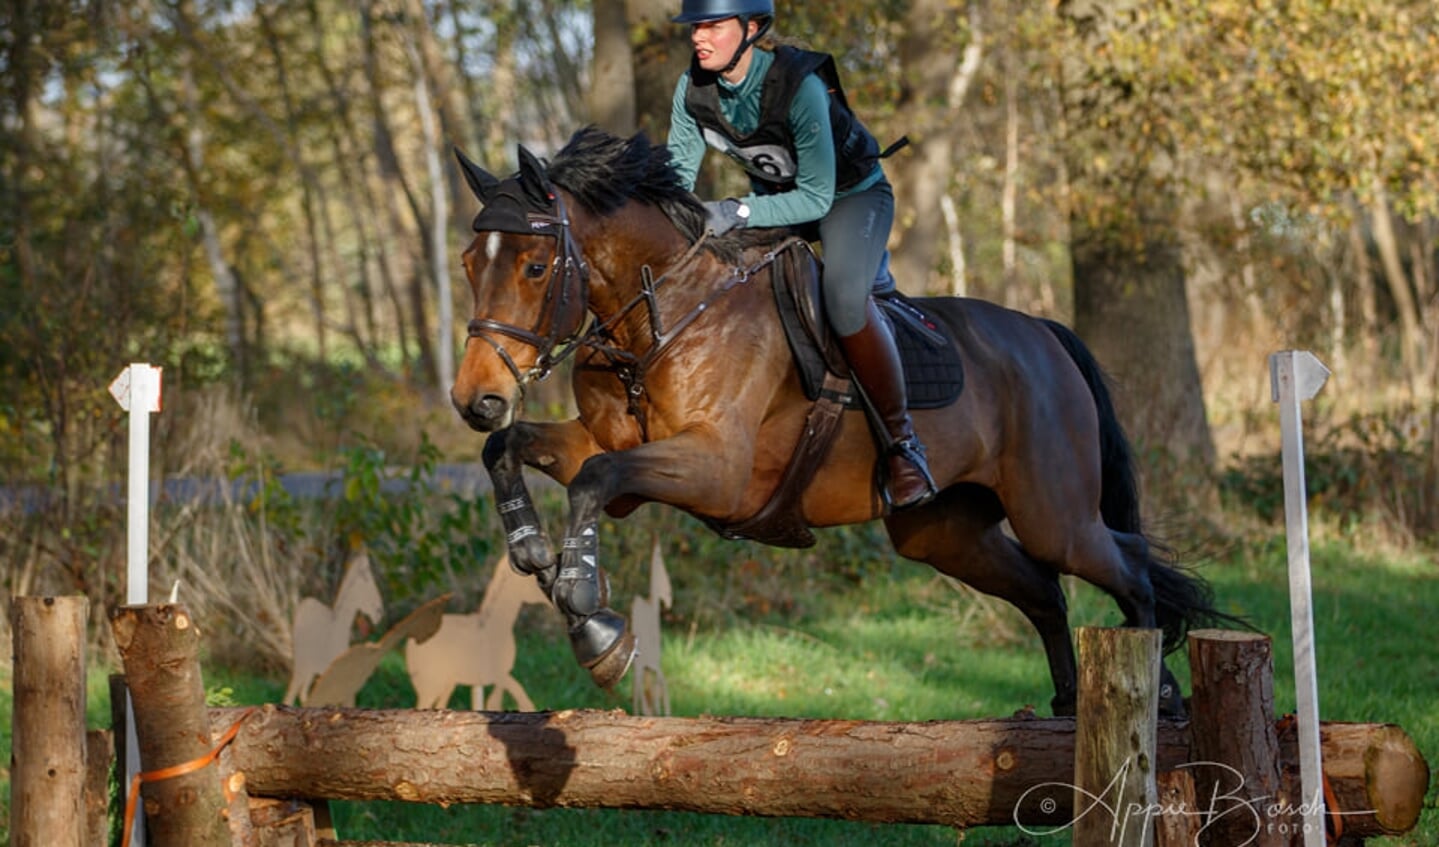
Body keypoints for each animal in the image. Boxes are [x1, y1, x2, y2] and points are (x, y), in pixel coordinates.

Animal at [448, 125, 1226, 713]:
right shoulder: (602, 444)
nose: (474, 399)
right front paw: (533, 553)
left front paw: (589, 614)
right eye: (468, 262)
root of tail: (1044, 332)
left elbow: (596, 479)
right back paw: (1068, 705)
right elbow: (515, 452)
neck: (658, 318)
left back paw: (1157, 696)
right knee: (1044, 592)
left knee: (1129, 568)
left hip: (1053, 514)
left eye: (536, 266)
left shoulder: (718, 470)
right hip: (944, 531)